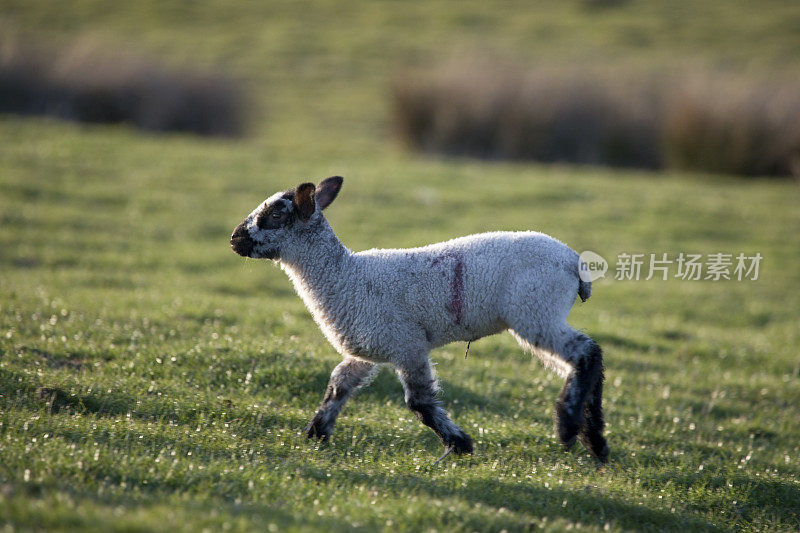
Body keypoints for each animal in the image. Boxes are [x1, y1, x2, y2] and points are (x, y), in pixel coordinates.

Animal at [230, 177, 608, 460]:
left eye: (276, 214)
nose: (234, 239)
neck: (344, 276)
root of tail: (574, 261)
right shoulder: (366, 350)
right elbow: (338, 385)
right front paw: (316, 433)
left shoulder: (407, 344)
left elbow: (420, 402)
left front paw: (460, 444)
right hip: (539, 315)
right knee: (586, 363)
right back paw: (595, 442)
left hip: (536, 311)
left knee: (586, 354)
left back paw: (568, 428)